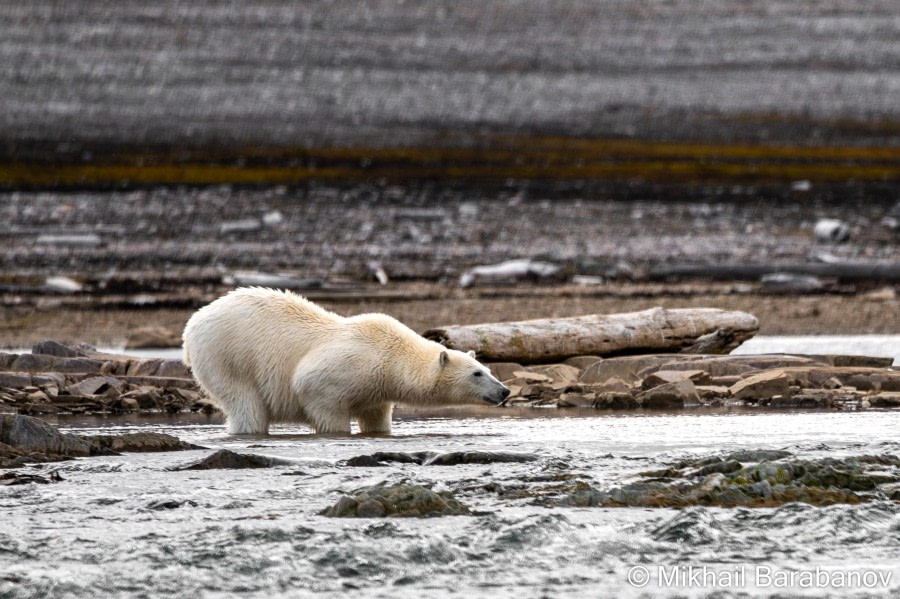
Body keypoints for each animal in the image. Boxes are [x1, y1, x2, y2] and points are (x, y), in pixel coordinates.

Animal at [179, 288, 510, 436]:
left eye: (488, 370)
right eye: (477, 374)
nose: (505, 391)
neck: (392, 355)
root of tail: (191, 326)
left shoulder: (377, 388)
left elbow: (376, 416)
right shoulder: (340, 371)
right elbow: (317, 394)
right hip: (226, 357)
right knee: (246, 404)